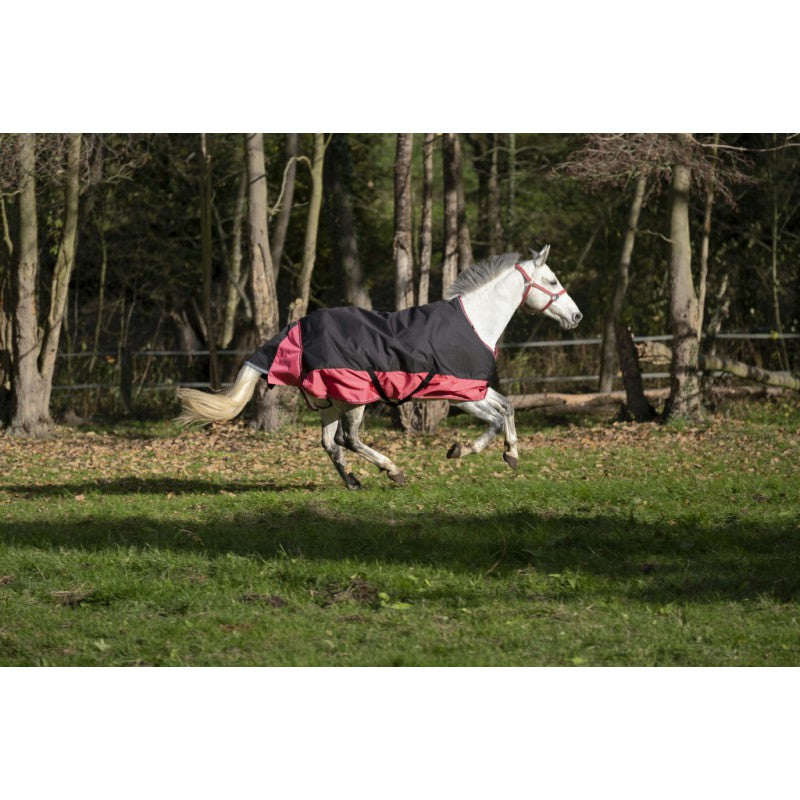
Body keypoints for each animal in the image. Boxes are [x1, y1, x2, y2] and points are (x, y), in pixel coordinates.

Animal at [176, 247, 582, 488]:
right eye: (552, 280)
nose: (577, 316)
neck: (474, 322)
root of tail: (297, 329)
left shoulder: (475, 389)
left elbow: (508, 408)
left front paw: (512, 455)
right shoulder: (461, 395)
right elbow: (496, 420)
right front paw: (460, 450)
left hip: (332, 401)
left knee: (330, 443)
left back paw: (354, 481)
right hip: (355, 398)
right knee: (348, 439)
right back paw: (393, 471)